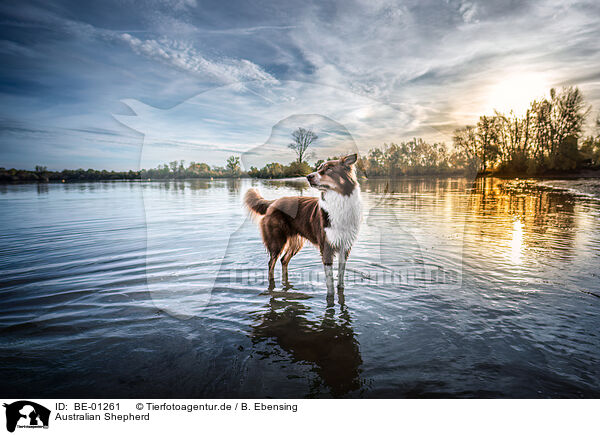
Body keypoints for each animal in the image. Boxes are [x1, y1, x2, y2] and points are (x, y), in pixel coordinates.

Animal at [244, 153, 360, 296]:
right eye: (319, 168)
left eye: (328, 169)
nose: (308, 176)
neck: (338, 201)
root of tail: (273, 202)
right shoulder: (326, 247)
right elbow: (330, 284)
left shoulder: (345, 247)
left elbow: (340, 278)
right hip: (277, 242)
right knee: (271, 264)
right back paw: (272, 286)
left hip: (296, 242)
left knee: (284, 260)